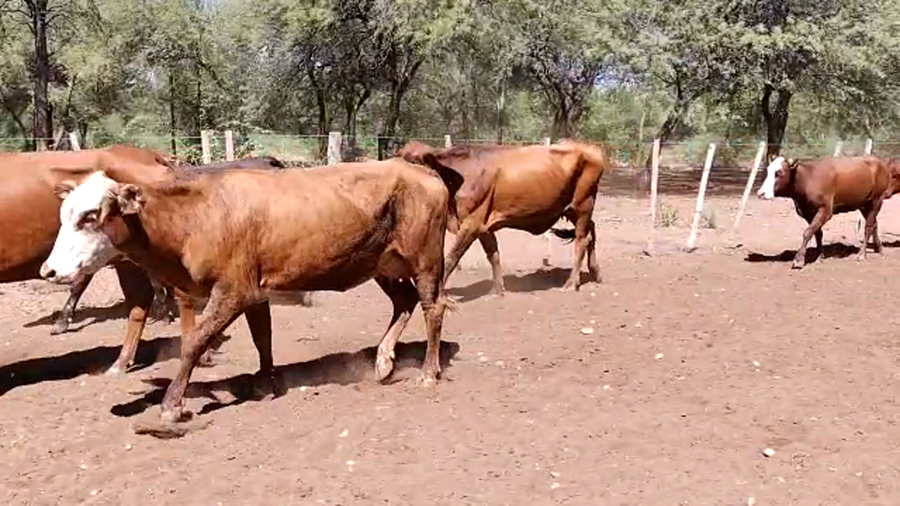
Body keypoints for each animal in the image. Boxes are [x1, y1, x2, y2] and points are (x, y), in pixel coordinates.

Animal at [0, 145, 216, 374]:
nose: (47, 270)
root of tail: (152, 155)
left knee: (179, 297)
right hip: (127, 259)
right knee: (139, 300)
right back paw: (122, 361)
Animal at [38, 158, 456, 438]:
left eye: (90, 216)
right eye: (62, 215)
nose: (49, 270)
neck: (196, 217)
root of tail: (421, 171)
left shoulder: (233, 290)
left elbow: (195, 341)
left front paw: (172, 406)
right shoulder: (255, 292)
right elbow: (262, 338)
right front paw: (265, 383)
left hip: (425, 259)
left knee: (432, 307)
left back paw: (428, 372)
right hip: (383, 264)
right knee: (403, 302)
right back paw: (384, 361)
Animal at [396, 139, 611, 294]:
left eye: (417, 166)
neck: (457, 177)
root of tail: (589, 148)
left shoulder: (472, 223)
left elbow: (451, 258)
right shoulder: (484, 226)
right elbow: (494, 255)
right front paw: (497, 290)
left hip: (582, 206)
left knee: (582, 241)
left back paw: (571, 283)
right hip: (572, 210)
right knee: (592, 231)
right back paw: (596, 272)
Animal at [756, 155, 893, 269]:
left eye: (779, 172)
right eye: (767, 171)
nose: (761, 193)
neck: (808, 179)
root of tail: (879, 162)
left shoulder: (825, 210)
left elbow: (807, 232)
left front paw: (799, 259)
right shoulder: (808, 212)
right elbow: (817, 233)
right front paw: (819, 256)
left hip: (877, 200)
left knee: (868, 227)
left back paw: (862, 254)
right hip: (864, 204)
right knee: (874, 224)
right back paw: (879, 248)